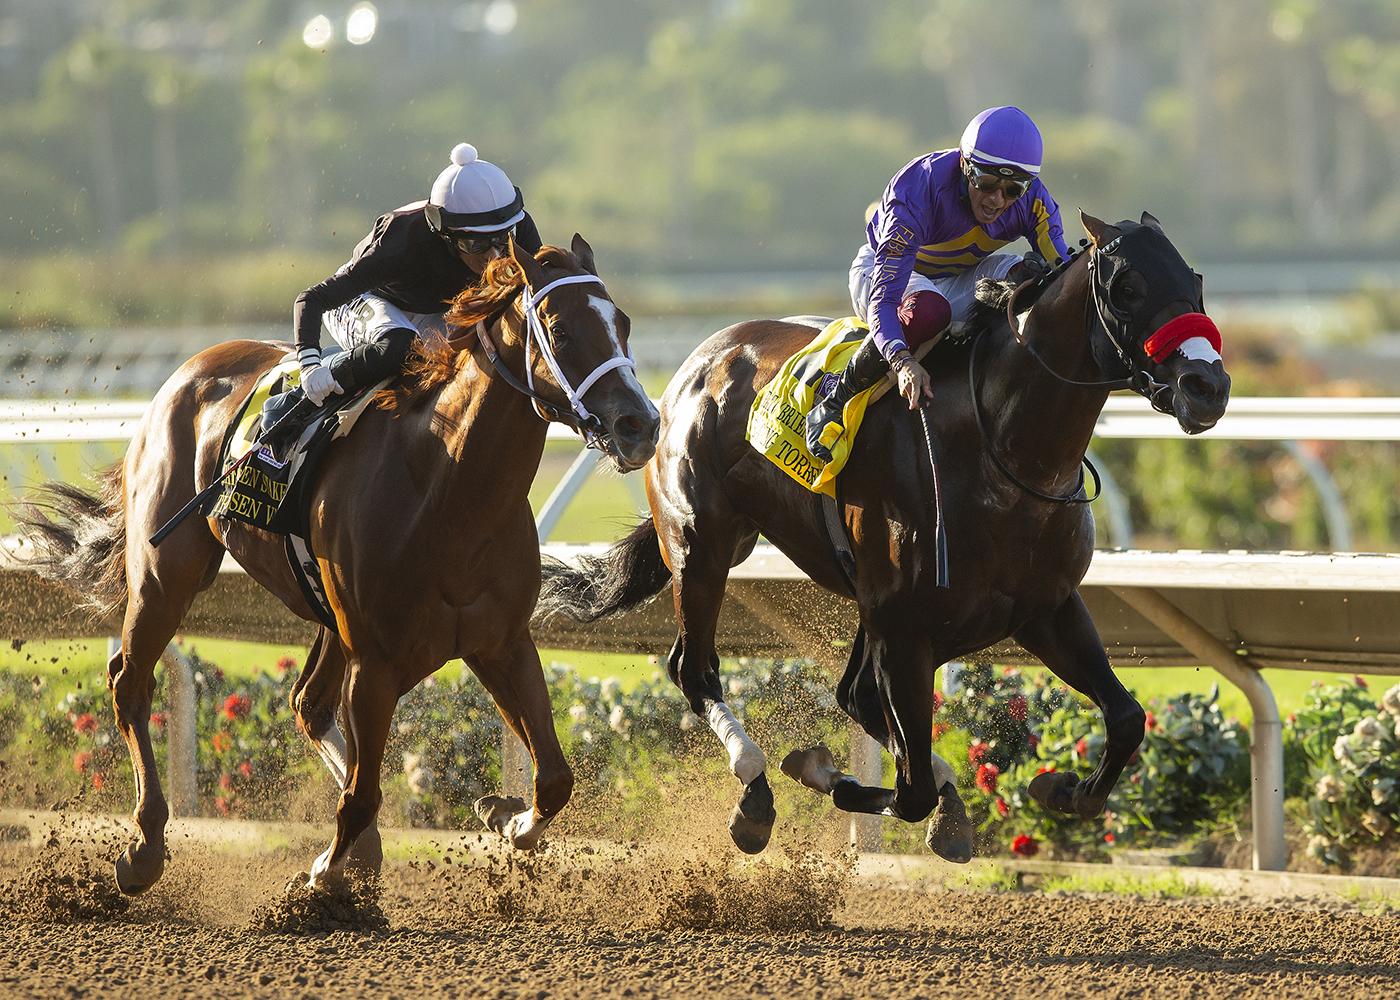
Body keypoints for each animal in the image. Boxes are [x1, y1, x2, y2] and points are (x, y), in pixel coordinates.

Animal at [19, 235, 658, 896]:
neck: (448, 490)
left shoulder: (500, 641)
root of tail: (190, 368)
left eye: (623, 324)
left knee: (308, 703)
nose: (640, 424)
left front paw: (504, 817)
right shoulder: (375, 662)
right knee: (131, 681)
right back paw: (145, 847)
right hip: (165, 572)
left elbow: (554, 778)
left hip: (322, 610)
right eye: (560, 330)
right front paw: (325, 872)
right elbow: (361, 793)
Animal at [540, 214, 1232, 851]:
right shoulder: (904, 626)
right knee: (696, 668)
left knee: (853, 698)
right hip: (702, 547)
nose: (1209, 386)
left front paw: (1062, 788)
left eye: (1196, 281)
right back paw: (756, 792)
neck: (1001, 448)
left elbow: (1125, 718)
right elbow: (908, 788)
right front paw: (822, 769)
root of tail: (700, 359)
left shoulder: (1043, 607)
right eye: (1126, 286)